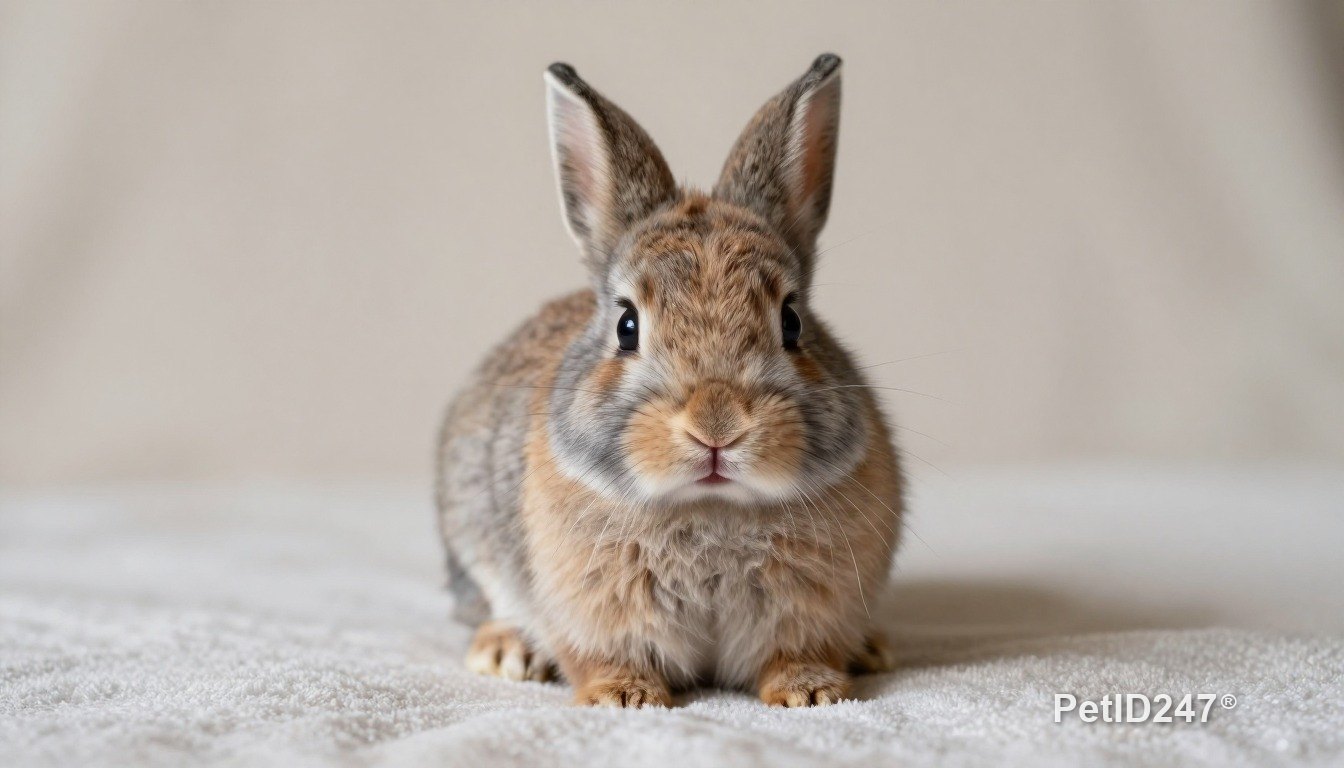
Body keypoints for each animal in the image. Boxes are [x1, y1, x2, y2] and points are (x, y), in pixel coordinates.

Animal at [435, 53, 903, 708]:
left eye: (791, 321)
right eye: (627, 325)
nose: (717, 426)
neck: (711, 508)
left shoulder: (812, 614)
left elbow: (797, 654)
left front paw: (813, 693)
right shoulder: (591, 613)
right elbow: (602, 657)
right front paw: (623, 697)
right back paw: (506, 653)